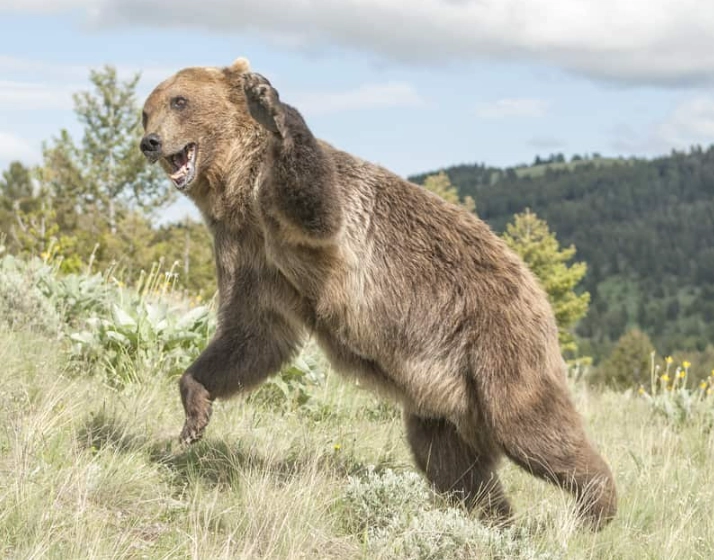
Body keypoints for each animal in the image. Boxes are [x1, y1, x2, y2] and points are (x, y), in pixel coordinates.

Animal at [140, 57, 617, 529]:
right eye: (147, 110)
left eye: (179, 100)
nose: (150, 141)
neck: (238, 189)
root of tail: (534, 284)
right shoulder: (249, 253)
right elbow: (253, 334)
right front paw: (195, 408)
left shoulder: (306, 216)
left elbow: (317, 208)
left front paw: (270, 105)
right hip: (444, 395)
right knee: (449, 461)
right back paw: (492, 517)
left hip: (496, 340)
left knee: (528, 425)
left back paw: (596, 505)